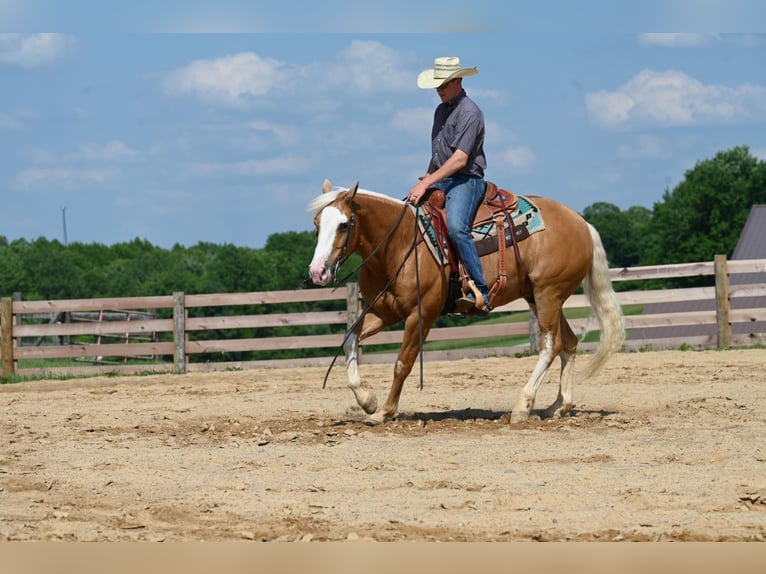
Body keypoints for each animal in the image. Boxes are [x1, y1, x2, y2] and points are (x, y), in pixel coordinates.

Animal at [306, 180, 624, 428]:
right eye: (317, 224)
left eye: (344, 225)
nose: (317, 272)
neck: (399, 245)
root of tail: (582, 223)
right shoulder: (383, 312)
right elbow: (350, 340)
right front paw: (367, 399)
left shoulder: (421, 314)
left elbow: (402, 364)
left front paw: (384, 411)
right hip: (541, 297)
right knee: (568, 342)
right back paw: (559, 406)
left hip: (548, 294)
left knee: (550, 345)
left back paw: (523, 406)